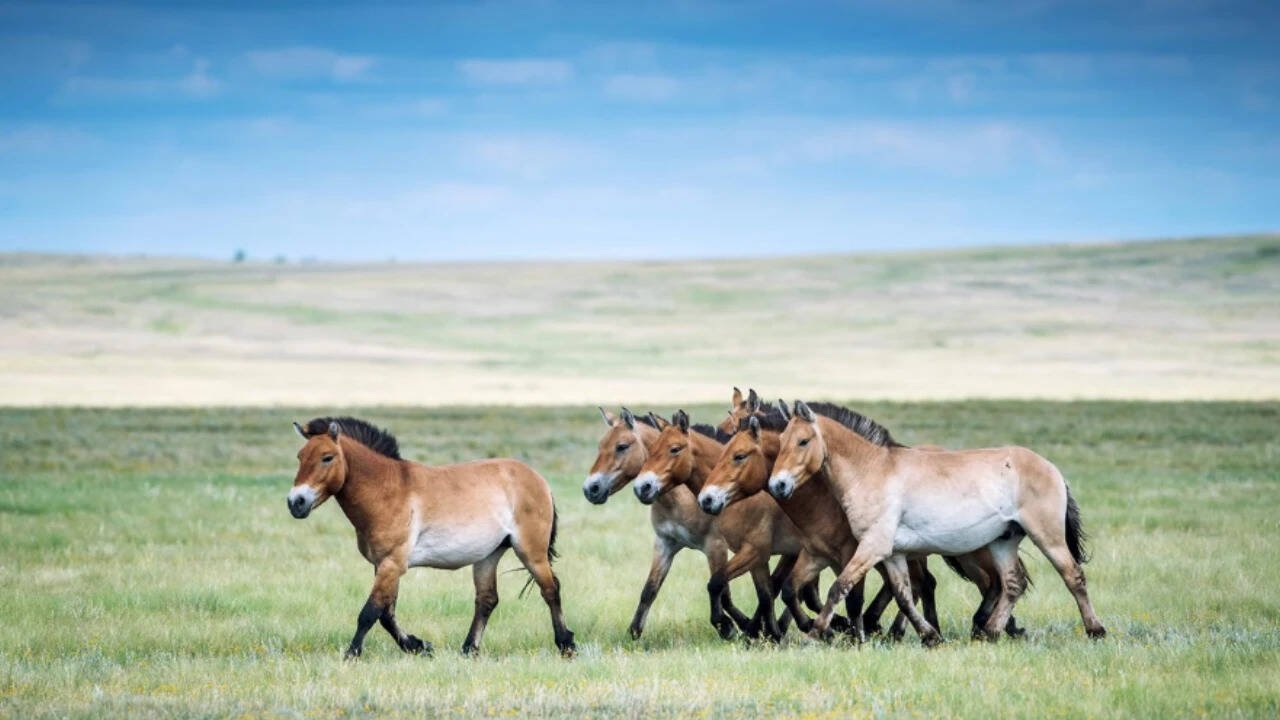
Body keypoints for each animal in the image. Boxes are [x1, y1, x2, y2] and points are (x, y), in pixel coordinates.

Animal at [288, 416, 576, 658]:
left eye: (327, 457)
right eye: (300, 456)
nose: (295, 502)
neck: (387, 491)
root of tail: (538, 479)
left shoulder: (392, 564)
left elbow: (370, 612)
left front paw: (352, 653)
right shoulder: (383, 565)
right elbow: (386, 614)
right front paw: (418, 646)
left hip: (531, 552)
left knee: (551, 590)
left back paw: (566, 644)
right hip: (488, 555)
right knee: (487, 600)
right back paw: (469, 649)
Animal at [583, 408, 811, 640]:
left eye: (621, 446)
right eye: (601, 446)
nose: (590, 489)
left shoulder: (718, 546)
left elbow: (723, 590)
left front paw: (732, 626)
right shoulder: (665, 543)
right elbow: (650, 590)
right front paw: (634, 631)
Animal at [703, 395, 1028, 640]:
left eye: (739, 454)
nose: (707, 498)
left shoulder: (850, 551)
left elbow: (846, 596)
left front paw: (845, 633)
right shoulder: (816, 552)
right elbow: (789, 590)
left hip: (969, 549)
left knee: (991, 582)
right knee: (939, 584)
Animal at [768, 400, 1106, 644]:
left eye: (802, 441)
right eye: (781, 441)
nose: (777, 485)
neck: (871, 471)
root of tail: (1050, 467)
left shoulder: (872, 547)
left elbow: (839, 587)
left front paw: (816, 633)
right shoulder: (893, 555)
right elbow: (904, 596)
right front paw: (929, 636)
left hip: (1047, 536)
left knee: (1073, 576)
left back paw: (1095, 630)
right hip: (1003, 541)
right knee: (1012, 584)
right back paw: (992, 632)